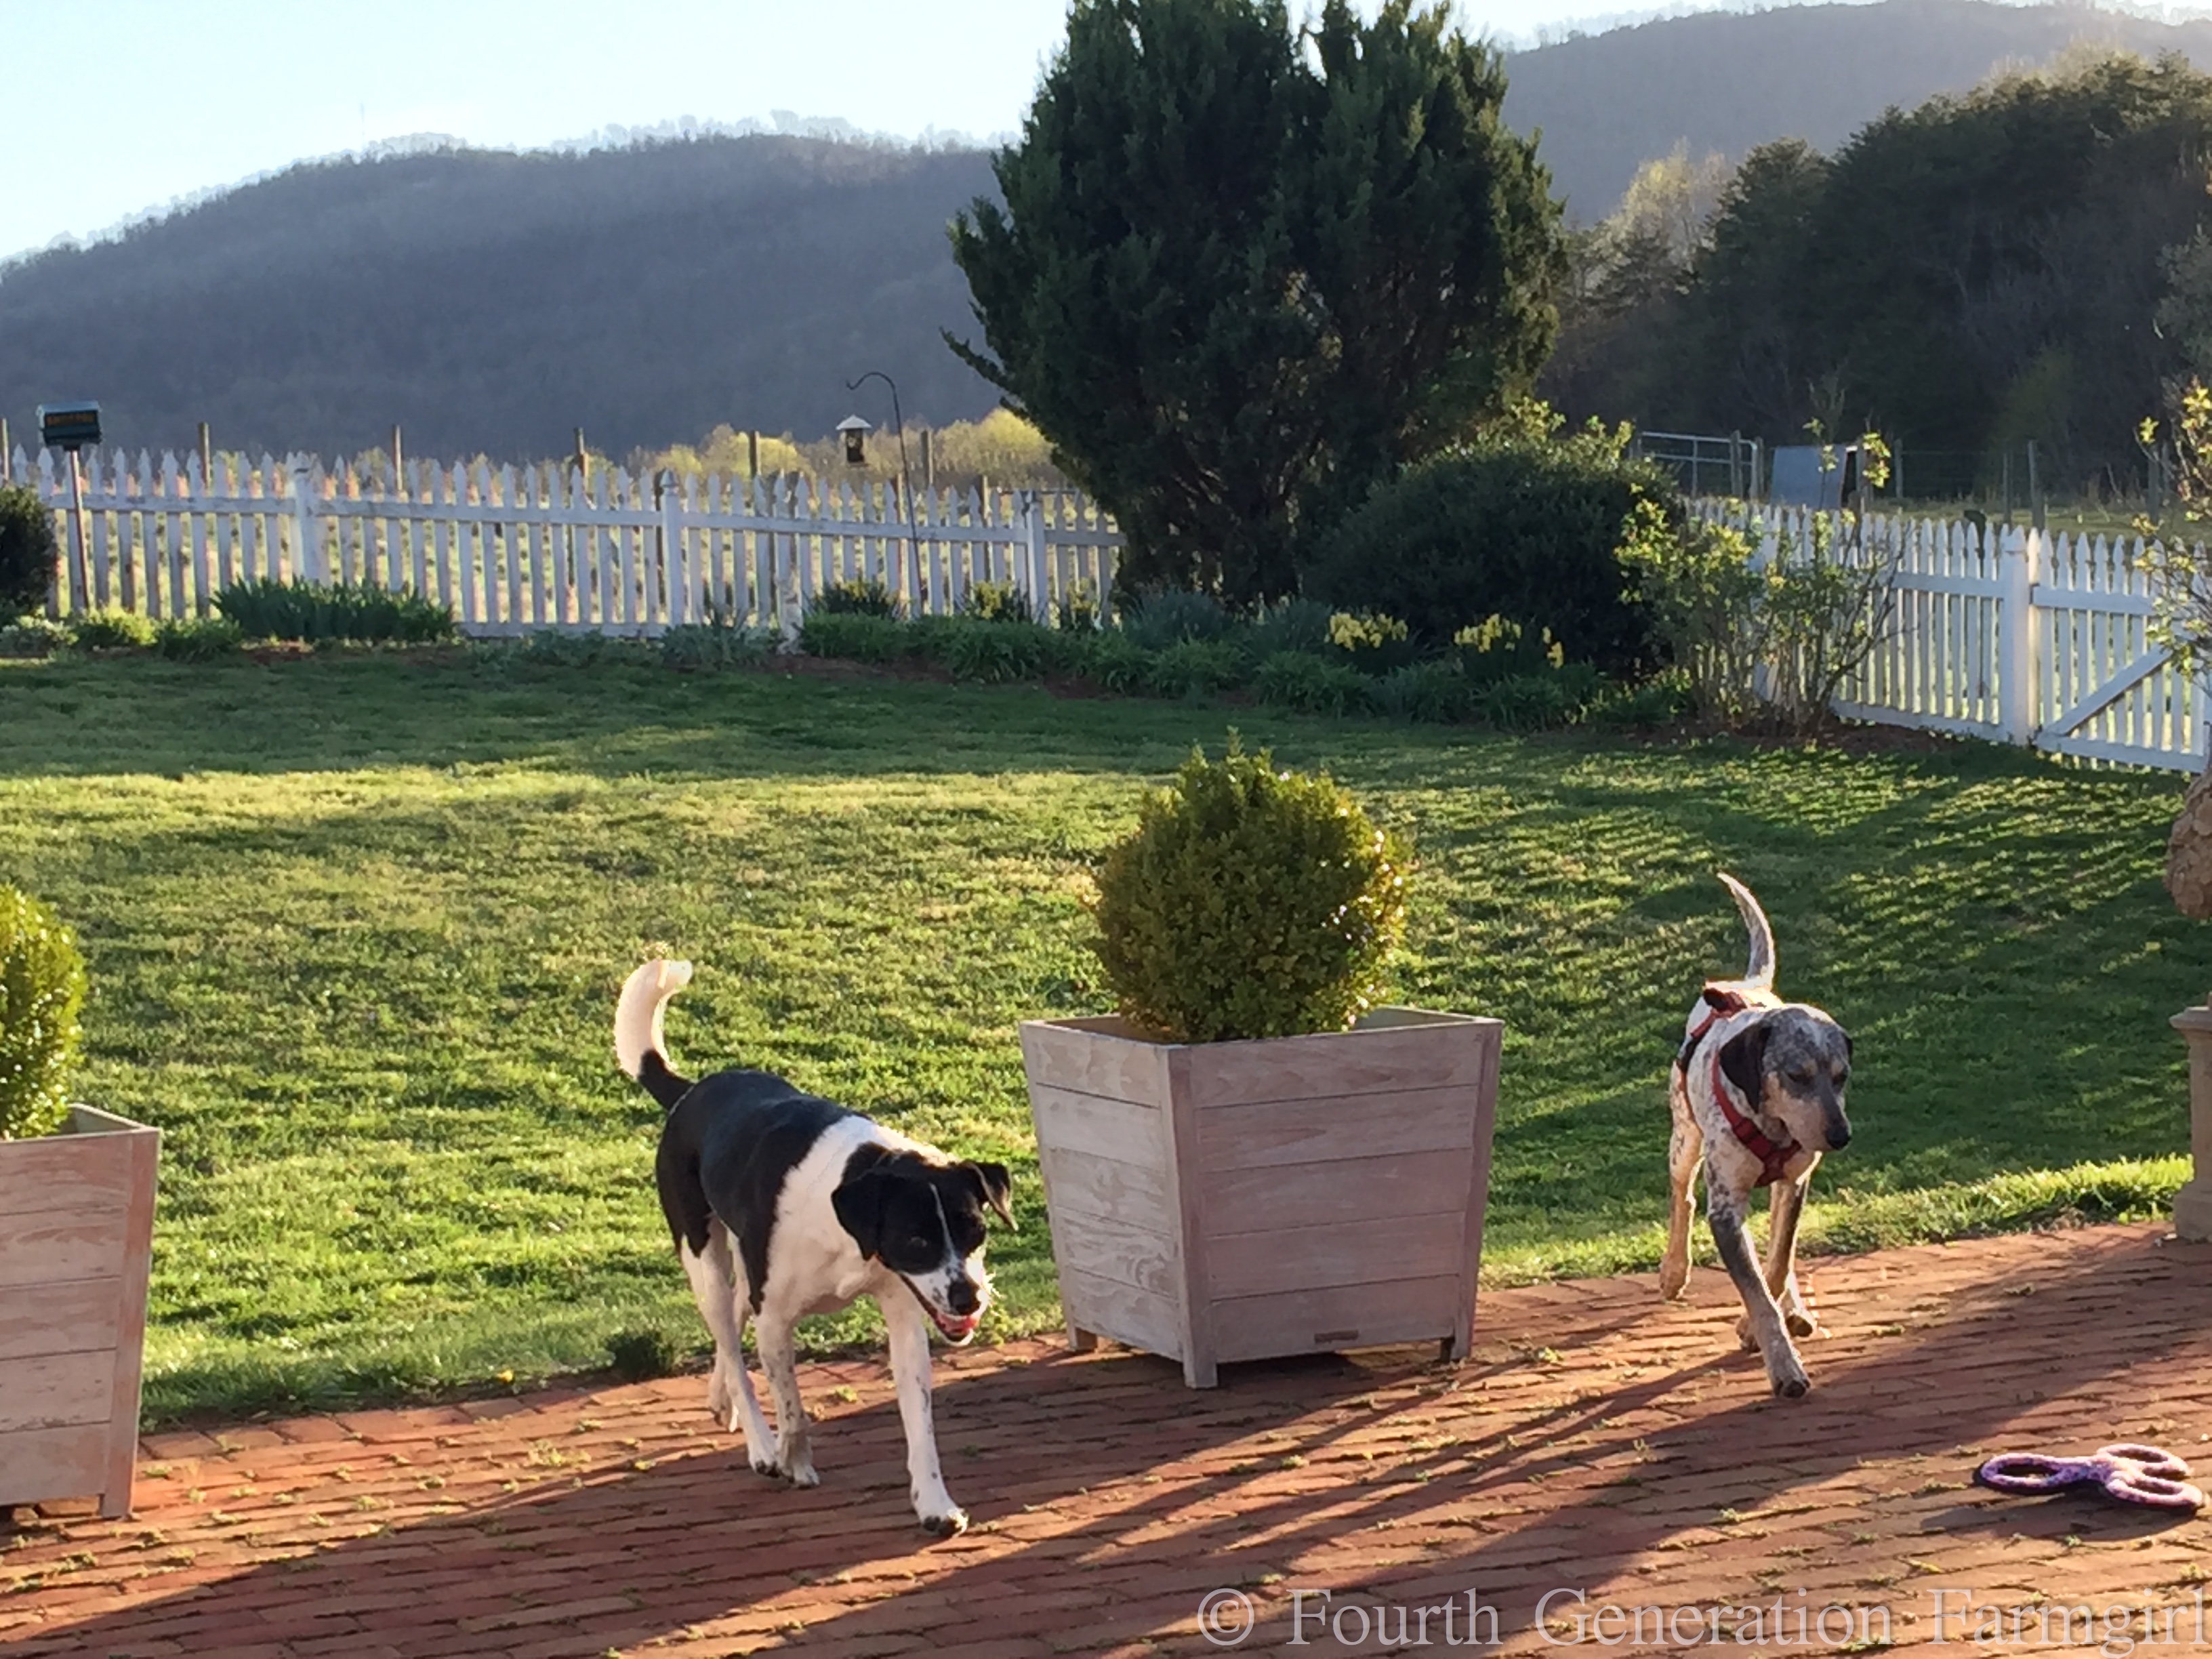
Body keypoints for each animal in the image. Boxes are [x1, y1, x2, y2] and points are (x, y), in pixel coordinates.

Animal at [615, 958, 1014, 1534]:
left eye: (974, 1232)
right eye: (916, 1239)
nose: (970, 1299)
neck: (849, 1228)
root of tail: (690, 1093)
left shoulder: (904, 1318)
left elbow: (921, 1427)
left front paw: (936, 1505)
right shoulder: (776, 1320)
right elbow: (793, 1408)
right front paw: (792, 1460)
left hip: (743, 1269)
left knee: (732, 1331)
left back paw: (721, 1400)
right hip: (705, 1259)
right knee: (731, 1342)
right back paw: (760, 1445)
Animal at [1657, 874, 1852, 1398]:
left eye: (1841, 1076)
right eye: (1796, 1075)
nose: (1841, 1135)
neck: (1771, 1125)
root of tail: (1746, 987)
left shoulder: (1797, 1181)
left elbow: (1779, 1262)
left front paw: (1768, 1321)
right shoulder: (1726, 1210)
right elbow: (1757, 1292)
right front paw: (1783, 1365)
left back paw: (1798, 1310)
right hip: (1684, 1140)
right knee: (1682, 1195)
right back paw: (1673, 1271)